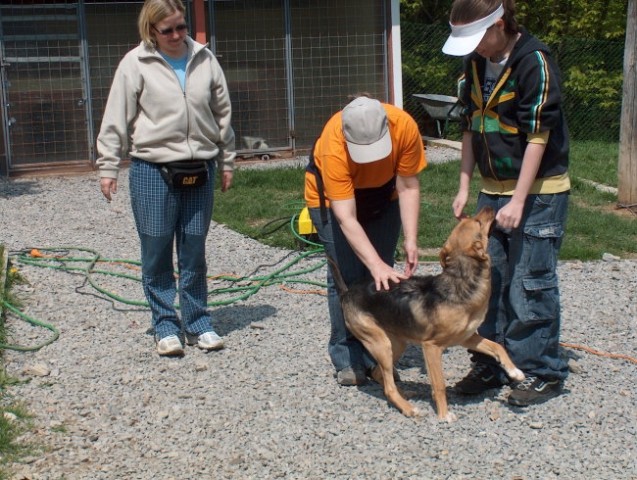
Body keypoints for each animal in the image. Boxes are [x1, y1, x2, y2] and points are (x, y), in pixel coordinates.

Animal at [328, 206, 520, 420]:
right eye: (478, 222)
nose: (489, 207)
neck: (460, 281)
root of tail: (347, 293)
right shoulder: (431, 347)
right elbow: (439, 384)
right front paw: (444, 415)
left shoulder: (466, 338)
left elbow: (497, 346)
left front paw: (515, 372)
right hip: (381, 344)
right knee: (387, 387)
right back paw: (408, 408)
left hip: (396, 344)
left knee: (380, 375)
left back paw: (406, 395)